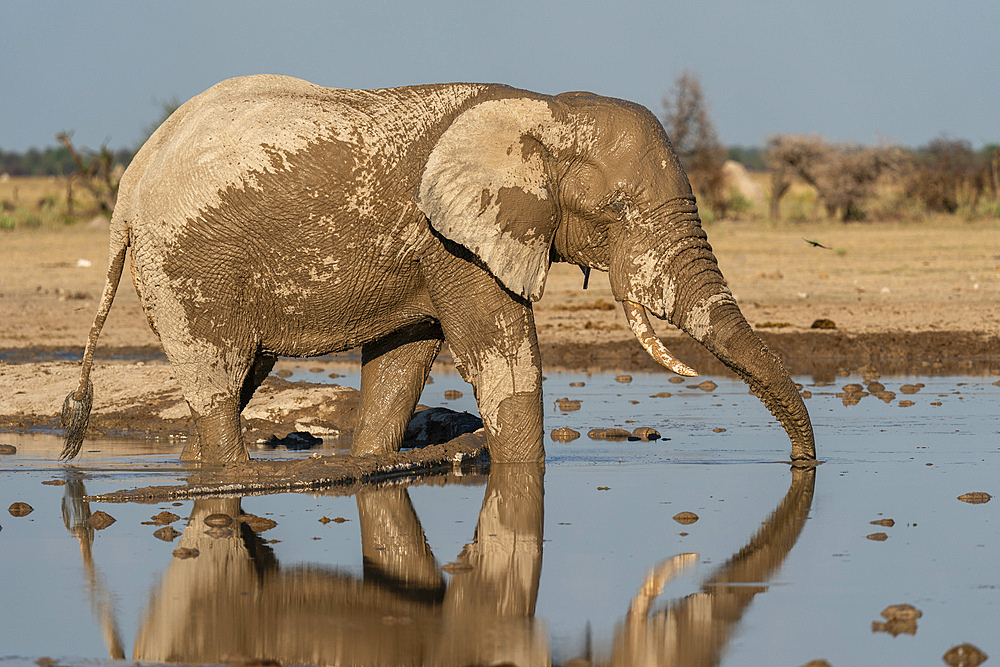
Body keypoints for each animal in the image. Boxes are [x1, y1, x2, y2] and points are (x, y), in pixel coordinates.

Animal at [60, 73, 812, 464]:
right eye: (617, 209)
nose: (804, 468)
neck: (541, 108)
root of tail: (130, 182)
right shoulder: (455, 241)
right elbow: (503, 358)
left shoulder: (428, 253)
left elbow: (402, 366)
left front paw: (369, 465)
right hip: (186, 269)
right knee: (217, 384)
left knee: (240, 380)